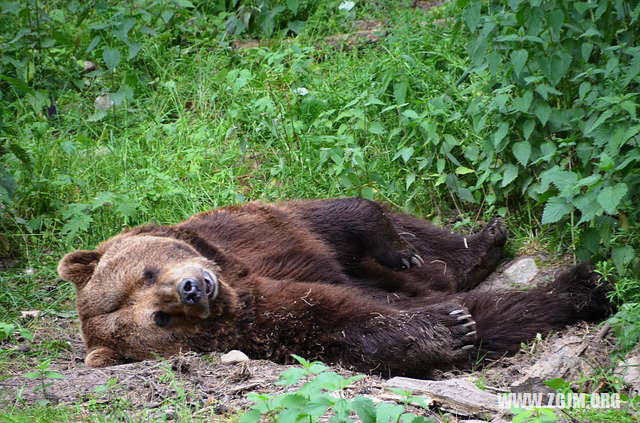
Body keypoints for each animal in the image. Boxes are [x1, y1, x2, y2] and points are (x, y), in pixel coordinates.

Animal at [58, 197, 608, 380]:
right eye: (160, 318)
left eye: (147, 273)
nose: (194, 289)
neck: (233, 277)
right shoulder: (264, 318)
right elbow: (341, 320)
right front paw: (448, 329)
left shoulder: (252, 233)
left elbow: (343, 218)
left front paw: (401, 250)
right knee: (497, 311)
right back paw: (579, 287)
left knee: (432, 250)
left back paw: (484, 243)